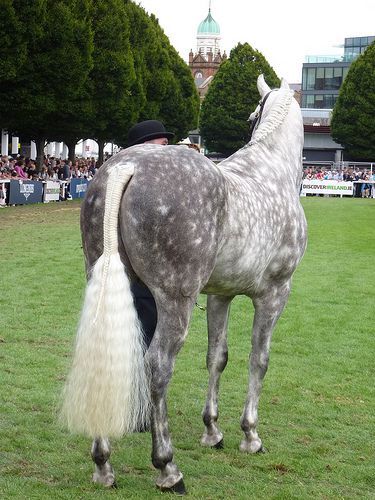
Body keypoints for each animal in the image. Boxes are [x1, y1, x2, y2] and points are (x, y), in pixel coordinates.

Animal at [61, 76, 308, 494]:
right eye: (251, 116)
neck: (269, 171)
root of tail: (126, 165)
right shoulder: (275, 294)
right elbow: (258, 359)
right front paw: (250, 436)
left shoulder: (221, 295)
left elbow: (217, 357)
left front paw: (213, 431)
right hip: (175, 300)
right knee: (158, 364)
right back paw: (168, 468)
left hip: (108, 282)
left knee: (105, 355)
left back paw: (103, 464)